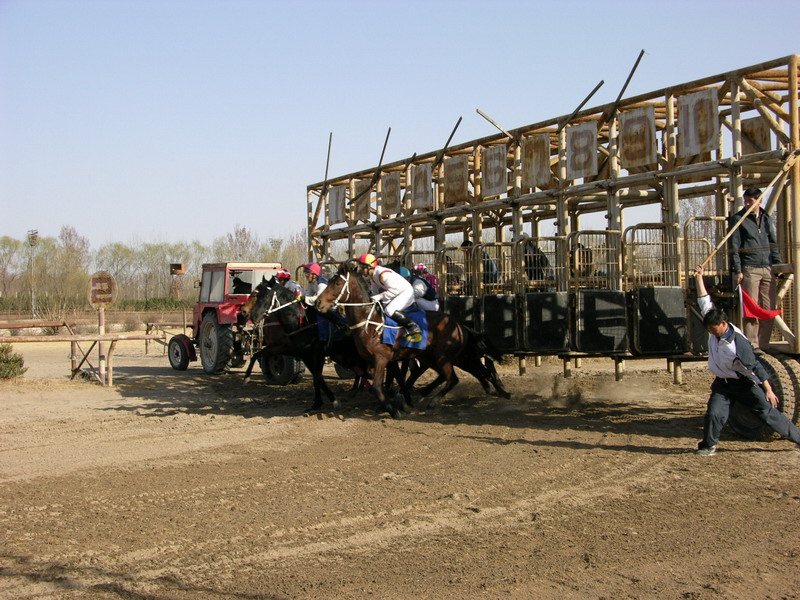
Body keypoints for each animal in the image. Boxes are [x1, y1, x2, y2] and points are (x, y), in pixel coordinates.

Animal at [241, 278, 368, 412]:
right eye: (257, 295)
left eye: (263, 295)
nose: (249, 314)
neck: (302, 323)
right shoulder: (300, 353)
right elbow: (256, 355)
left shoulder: (316, 354)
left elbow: (317, 377)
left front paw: (328, 402)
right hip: (343, 356)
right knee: (360, 369)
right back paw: (356, 390)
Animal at [316, 262, 510, 418]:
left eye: (337, 283)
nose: (318, 302)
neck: (369, 322)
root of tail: (459, 324)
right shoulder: (379, 360)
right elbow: (391, 382)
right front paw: (400, 403)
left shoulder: (381, 359)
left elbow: (377, 387)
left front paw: (394, 410)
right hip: (431, 356)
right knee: (453, 374)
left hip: (445, 356)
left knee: (455, 378)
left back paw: (435, 400)